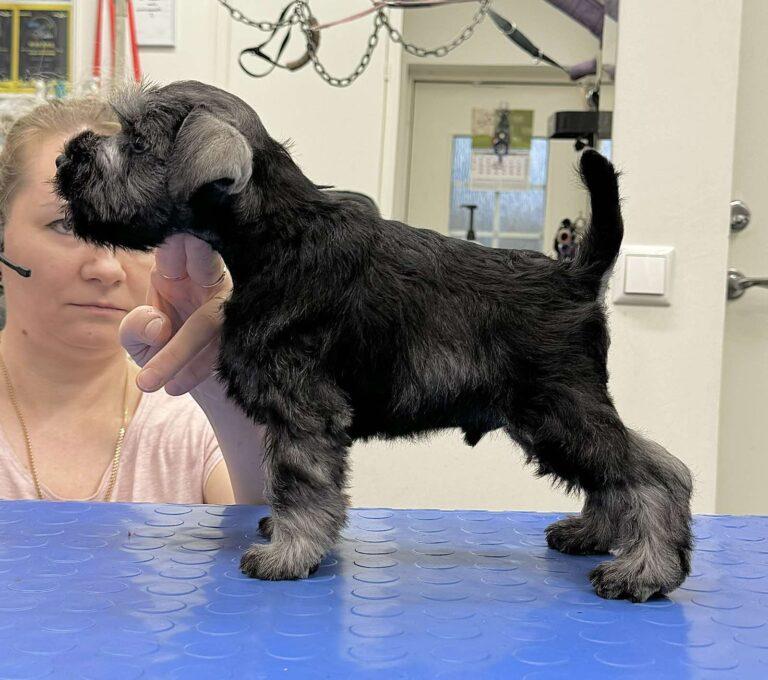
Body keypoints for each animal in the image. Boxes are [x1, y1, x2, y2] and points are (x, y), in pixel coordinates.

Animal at [55, 80, 693, 602]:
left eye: (138, 145)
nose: (65, 158)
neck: (274, 237)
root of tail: (576, 275)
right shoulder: (293, 415)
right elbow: (290, 480)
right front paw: (285, 534)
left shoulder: (305, 412)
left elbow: (301, 483)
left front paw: (288, 553)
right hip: (555, 416)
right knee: (625, 471)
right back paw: (594, 534)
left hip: (558, 407)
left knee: (653, 474)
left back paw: (645, 571)